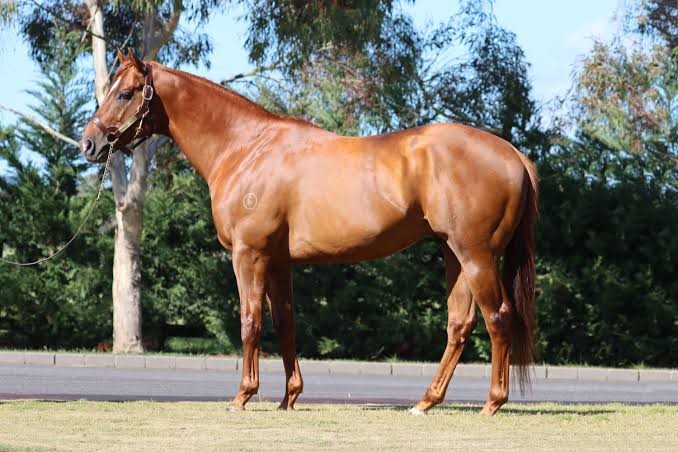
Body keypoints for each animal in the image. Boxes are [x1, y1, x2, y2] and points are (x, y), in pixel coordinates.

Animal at [80, 49, 538, 416]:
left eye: (125, 93)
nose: (89, 143)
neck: (245, 148)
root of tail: (513, 154)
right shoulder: (278, 261)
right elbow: (285, 323)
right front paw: (289, 397)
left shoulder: (249, 255)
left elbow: (250, 321)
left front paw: (242, 396)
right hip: (452, 254)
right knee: (459, 325)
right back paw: (425, 403)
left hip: (475, 255)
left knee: (498, 318)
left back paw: (492, 403)